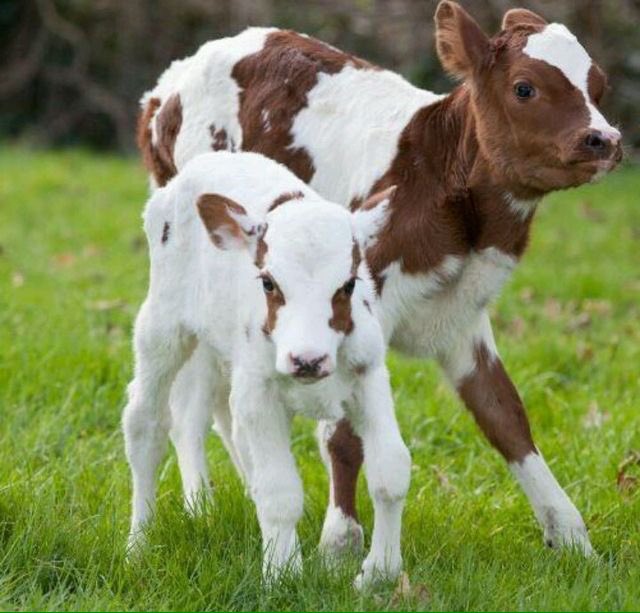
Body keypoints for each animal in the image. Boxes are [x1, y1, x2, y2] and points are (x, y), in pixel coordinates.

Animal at [122, 151, 411, 586]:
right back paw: (138, 544)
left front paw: (379, 573)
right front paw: (282, 574)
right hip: (163, 324)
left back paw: (199, 508)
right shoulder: (258, 393)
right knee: (147, 423)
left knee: (192, 417)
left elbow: (391, 472)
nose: (307, 360)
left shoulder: (369, 375)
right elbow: (279, 491)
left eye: (348, 285)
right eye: (269, 283)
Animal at [136, 1, 623, 557]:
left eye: (599, 86)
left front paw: (572, 537)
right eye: (525, 88)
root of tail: (165, 87)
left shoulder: (461, 316)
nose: (605, 140)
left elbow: (504, 415)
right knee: (190, 400)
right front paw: (340, 539)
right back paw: (203, 505)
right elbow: (342, 433)